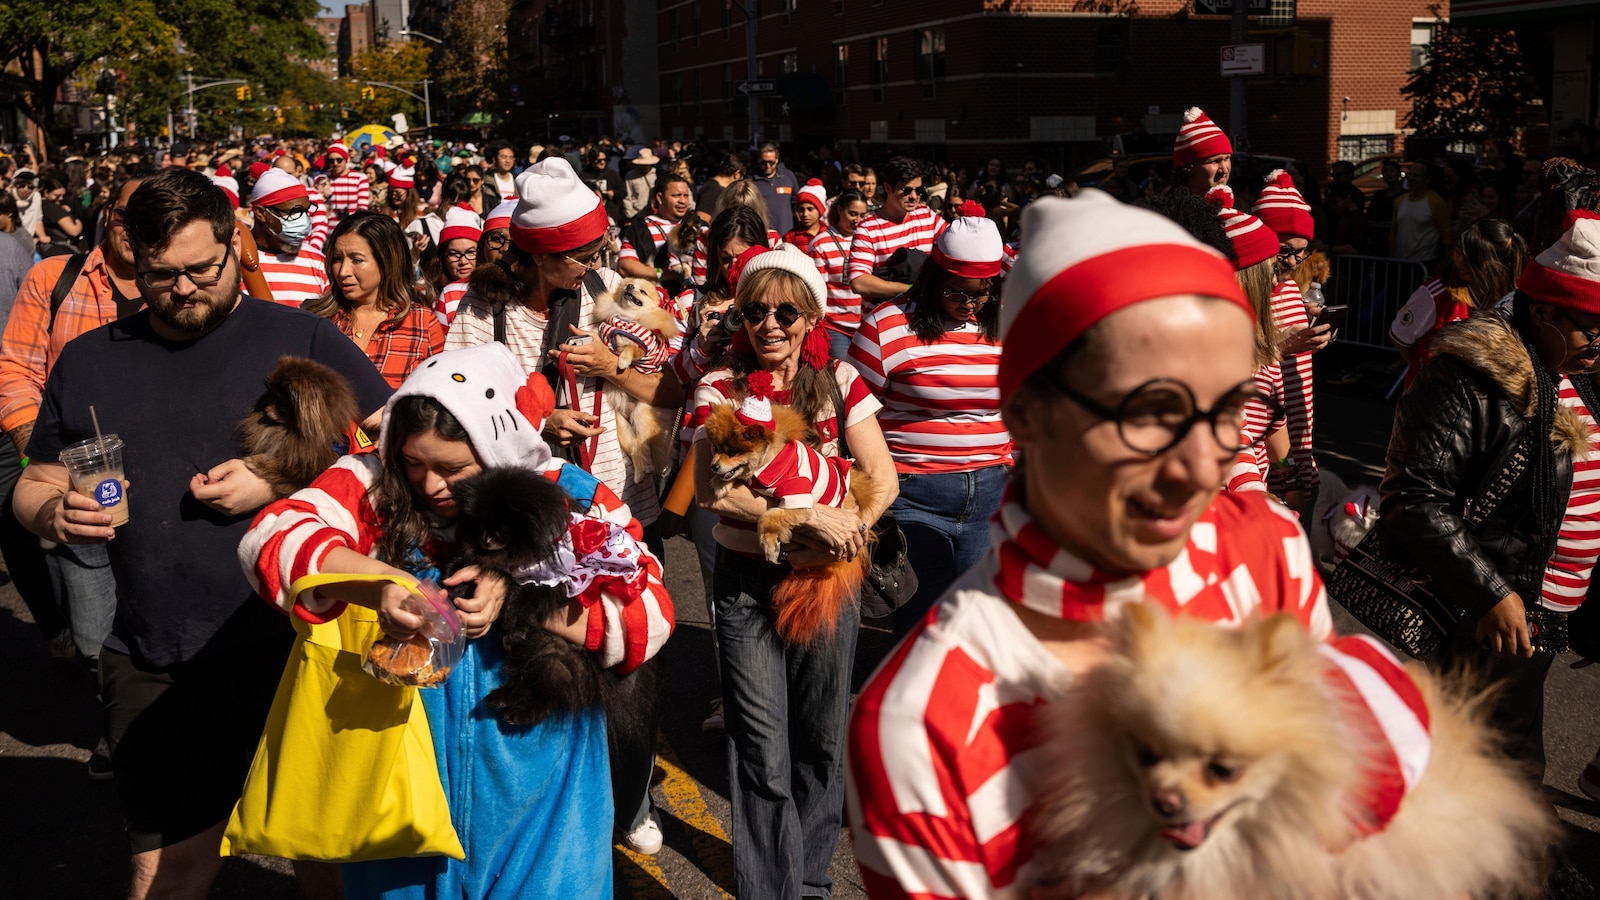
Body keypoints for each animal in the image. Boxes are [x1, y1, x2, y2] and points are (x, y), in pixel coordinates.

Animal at [236, 353, 363, 496]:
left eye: (282, 401)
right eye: (273, 396)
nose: (266, 409)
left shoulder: (313, 467)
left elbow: (288, 469)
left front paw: (257, 462)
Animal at [448, 470, 659, 755]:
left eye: (502, 530)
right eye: (480, 523)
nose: (486, 539)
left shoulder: (549, 579)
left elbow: (519, 596)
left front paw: (512, 627)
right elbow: (468, 563)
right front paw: (454, 582)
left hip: (554, 651)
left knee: (552, 690)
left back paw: (520, 711)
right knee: (534, 680)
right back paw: (503, 698)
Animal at [595, 277, 681, 480]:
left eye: (642, 292)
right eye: (628, 285)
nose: (629, 287)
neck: (625, 318)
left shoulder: (644, 348)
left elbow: (631, 348)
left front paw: (623, 360)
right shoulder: (606, 330)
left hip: (642, 414)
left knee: (643, 442)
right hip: (621, 424)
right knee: (635, 446)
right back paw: (640, 472)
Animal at [704, 368, 876, 640]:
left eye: (732, 452)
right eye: (715, 448)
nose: (713, 466)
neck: (767, 463)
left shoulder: (798, 501)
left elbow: (769, 516)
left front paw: (769, 543)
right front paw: (721, 483)